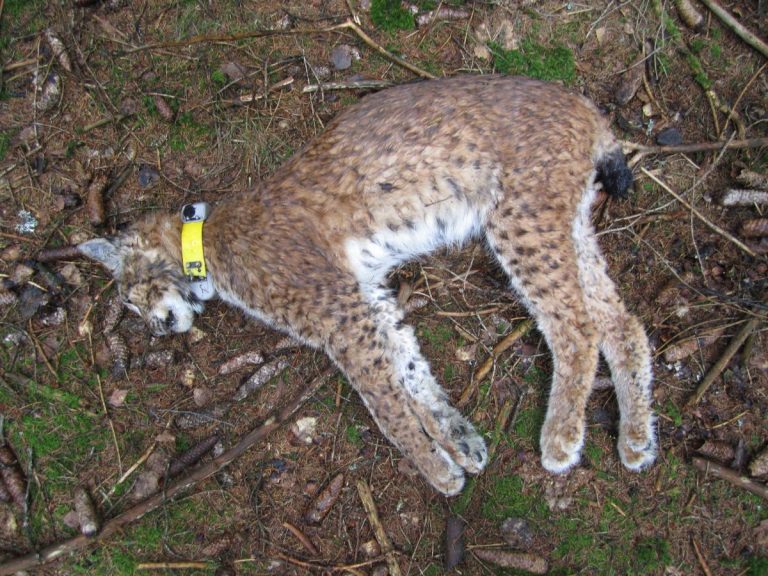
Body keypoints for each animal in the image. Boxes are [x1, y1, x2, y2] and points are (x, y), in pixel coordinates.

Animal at [79, 75, 656, 496]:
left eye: (130, 298)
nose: (157, 330)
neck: (201, 241)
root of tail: (581, 102)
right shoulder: (368, 300)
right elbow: (411, 374)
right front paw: (458, 441)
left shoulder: (338, 315)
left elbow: (385, 406)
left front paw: (435, 471)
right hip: (565, 218)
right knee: (622, 324)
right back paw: (636, 440)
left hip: (520, 219)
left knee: (576, 327)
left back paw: (561, 439)